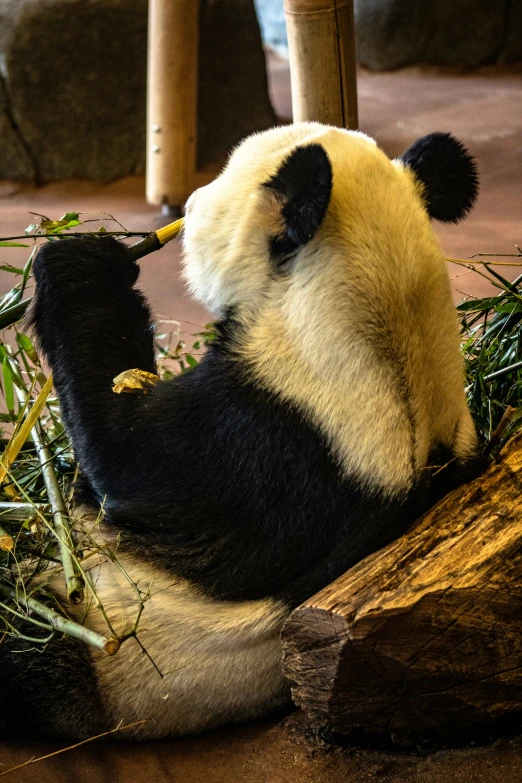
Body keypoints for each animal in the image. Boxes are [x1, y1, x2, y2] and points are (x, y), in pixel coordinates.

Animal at [1, 121, 480, 740]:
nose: (187, 206)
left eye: (219, 183)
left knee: (28, 645)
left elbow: (125, 460)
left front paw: (81, 262)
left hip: (110, 656)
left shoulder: (280, 437)